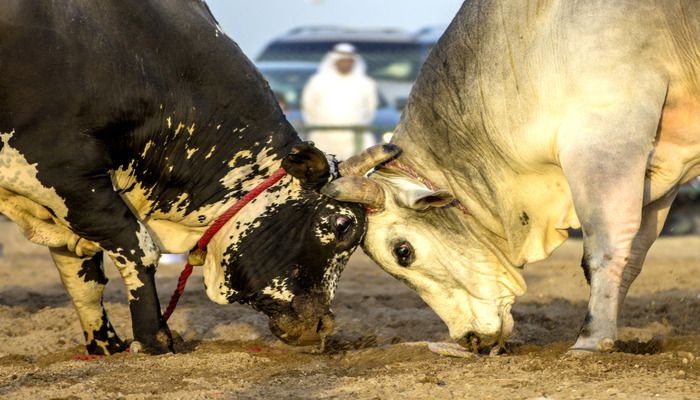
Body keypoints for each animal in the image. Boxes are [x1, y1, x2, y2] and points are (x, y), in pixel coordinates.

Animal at [0, 0, 399, 355]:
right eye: (342, 224)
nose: (321, 325)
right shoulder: (64, 174)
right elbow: (137, 247)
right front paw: (154, 338)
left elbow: (82, 277)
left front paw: (105, 346)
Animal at [323, 0, 700, 354]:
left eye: (402, 251)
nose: (470, 338)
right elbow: (633, 255)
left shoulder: (607, 137)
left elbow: (603, 247)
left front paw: (591, 339)